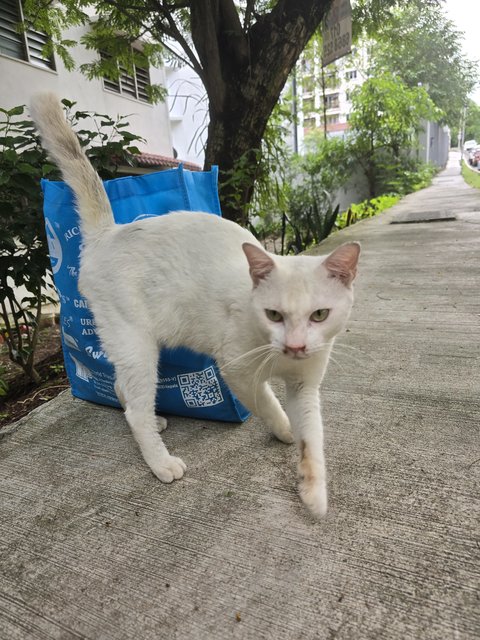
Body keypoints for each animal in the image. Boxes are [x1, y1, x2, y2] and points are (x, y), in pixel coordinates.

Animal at [30, 92, 360, 516]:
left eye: (319, 315)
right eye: (273, 315)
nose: (296, 346)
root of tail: (110, 232)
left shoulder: (305, 385)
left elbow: (312, 439)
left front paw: (314, 491)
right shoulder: (237, 370)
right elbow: (267, 402)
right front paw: (283, 428)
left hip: (129, 349)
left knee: (123, 388)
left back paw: (154, 423)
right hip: (138, 346)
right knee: (135, 408)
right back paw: (160, 461)